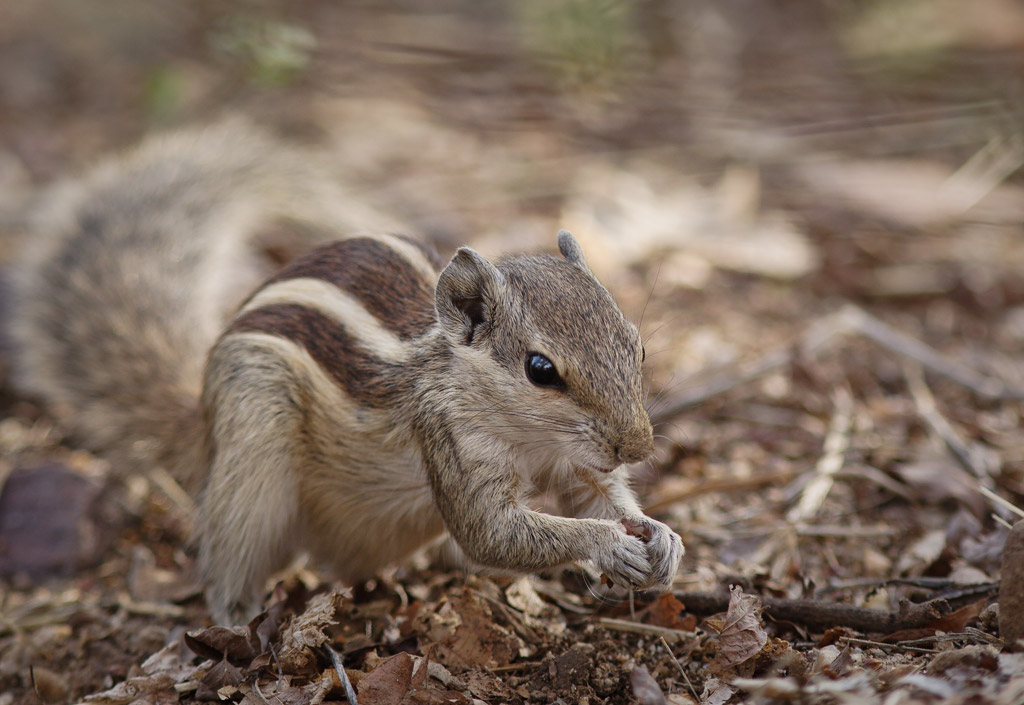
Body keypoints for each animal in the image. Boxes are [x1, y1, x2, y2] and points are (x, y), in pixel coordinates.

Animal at [12, 119, 684, 623]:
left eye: (636, 345)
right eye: (540, 370)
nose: (638, 447)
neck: (527, 435)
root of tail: (201, 424)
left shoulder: (577, 463)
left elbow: (593, 494)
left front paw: (660, 536)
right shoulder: (449, 440)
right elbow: (493, 532)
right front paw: (604, 544)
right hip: (252, 450)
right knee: (230, 550)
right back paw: (238, 620)